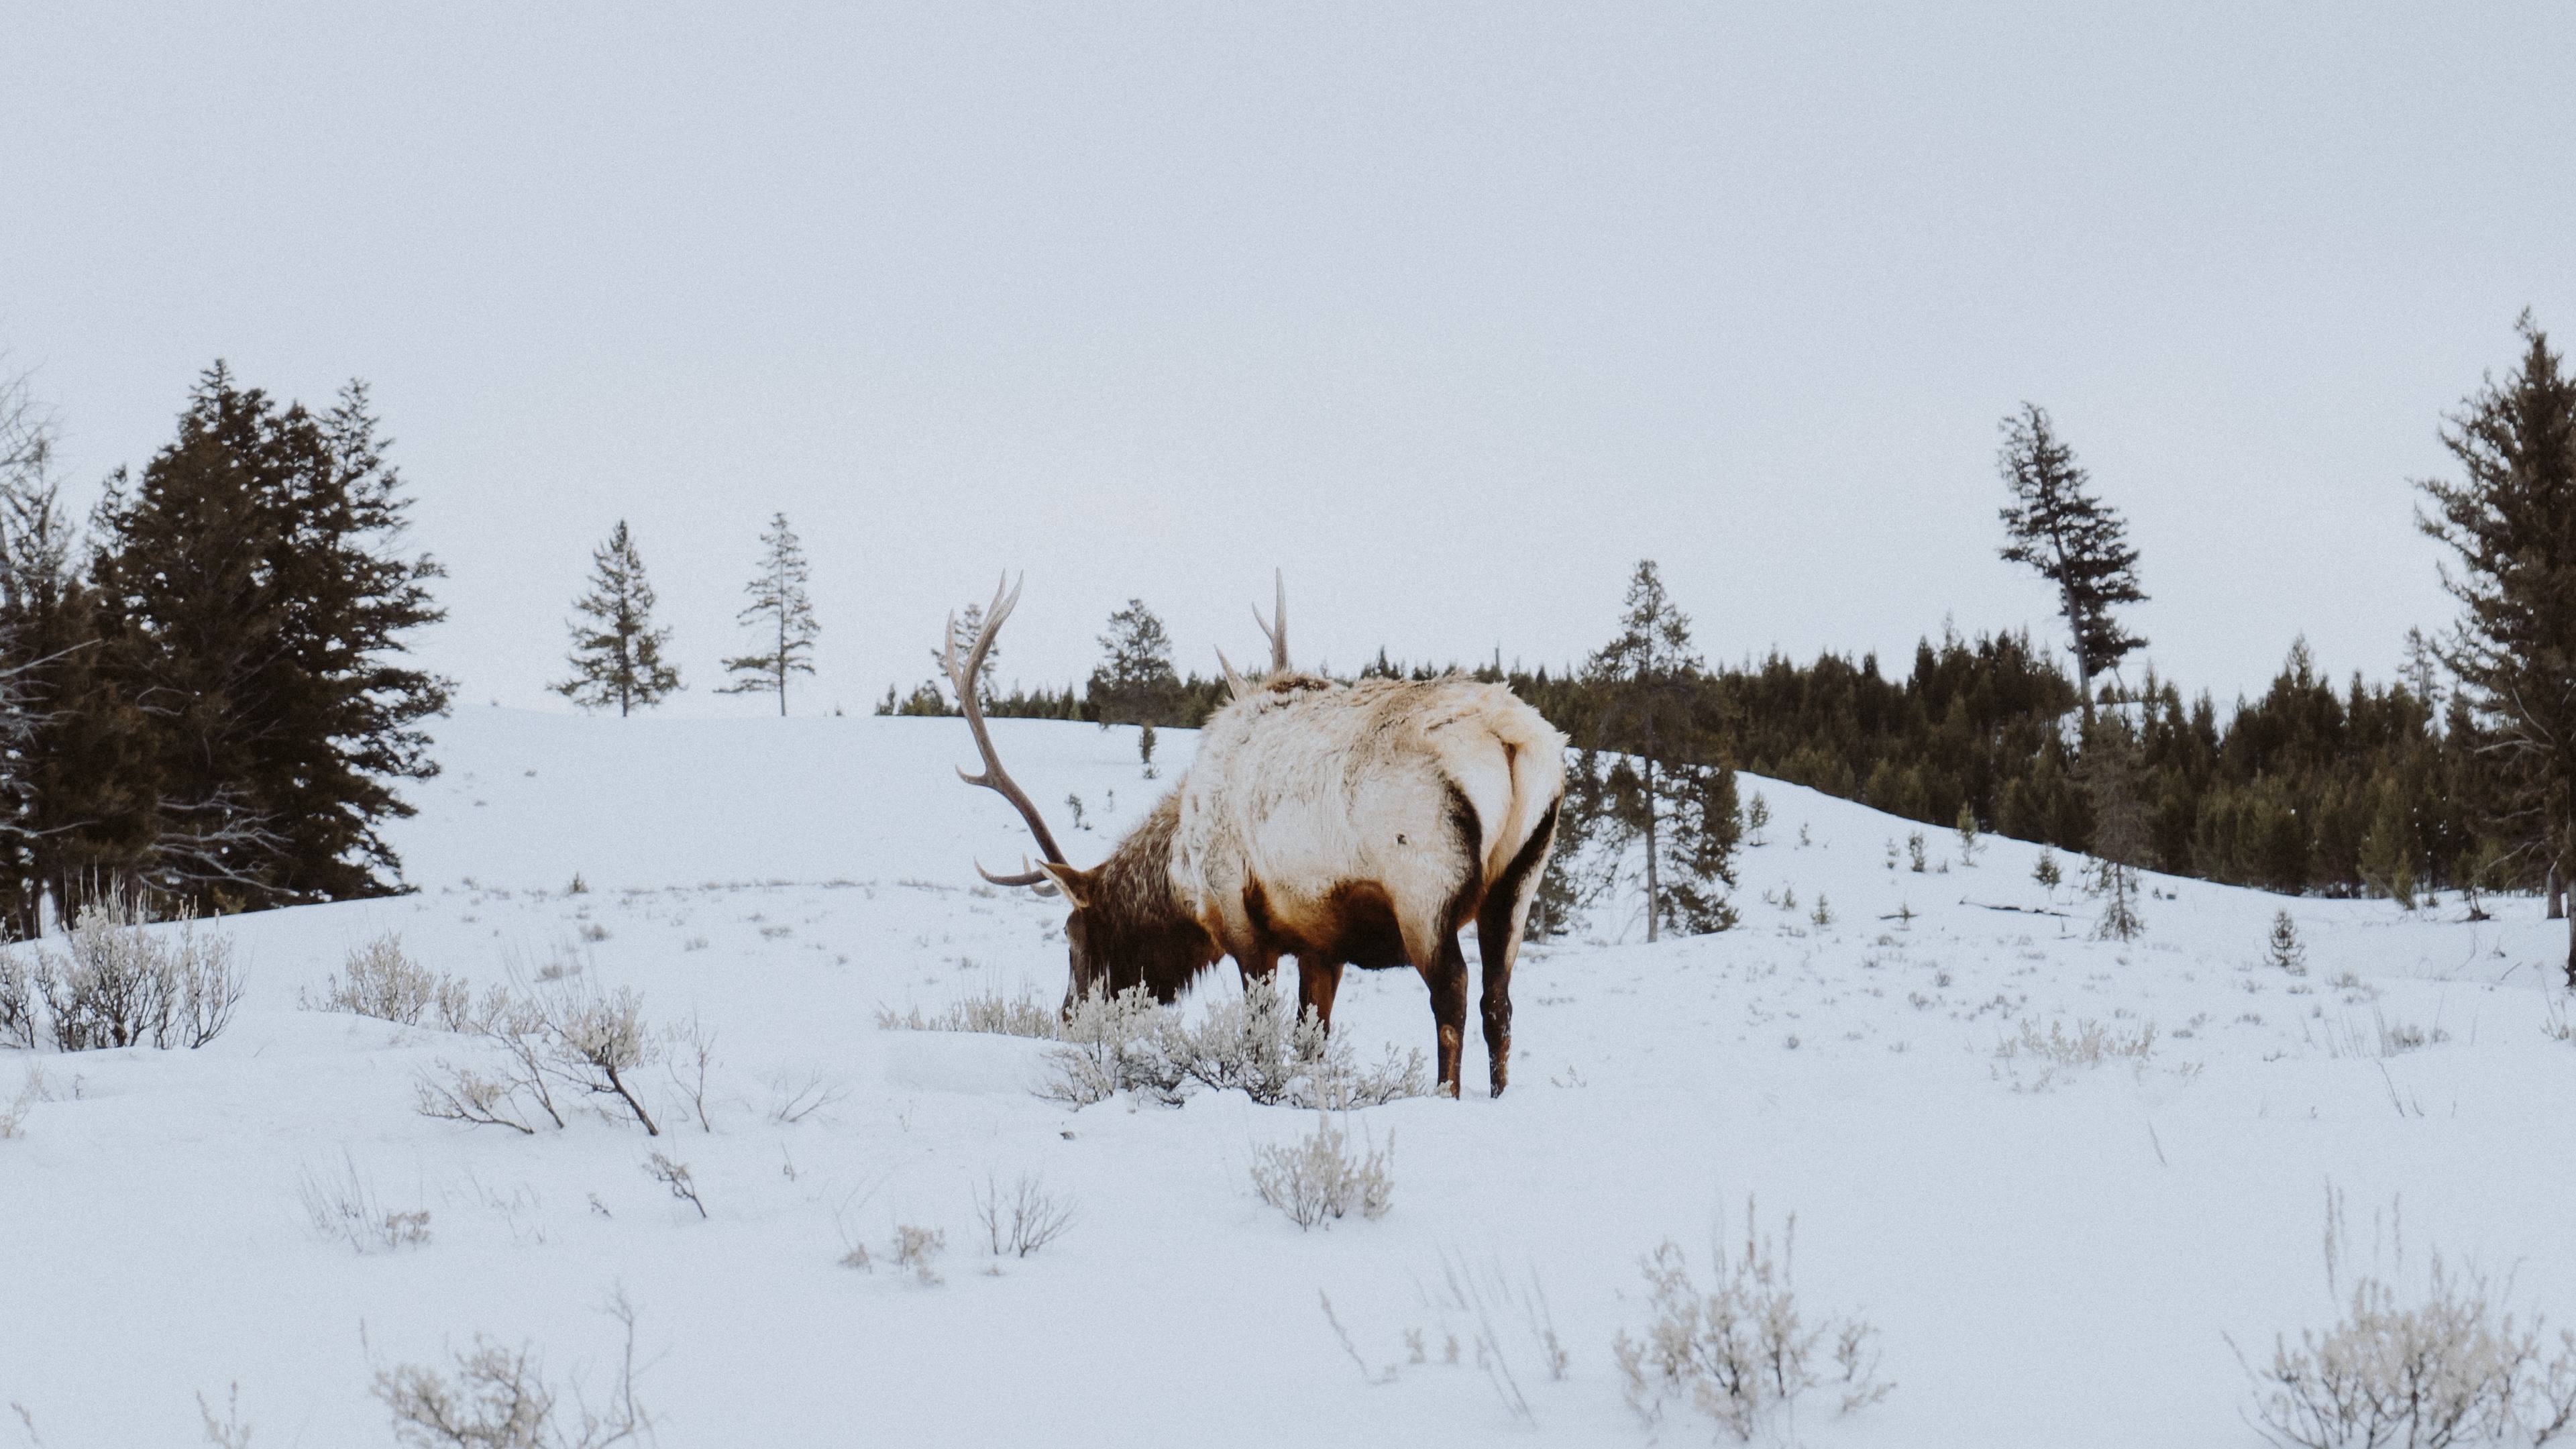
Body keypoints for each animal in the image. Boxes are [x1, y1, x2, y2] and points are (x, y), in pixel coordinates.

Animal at [937, 575, 1556, 1093]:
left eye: (1071, 935)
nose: (1067, 1018)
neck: (1180, 873)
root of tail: (1511, 737)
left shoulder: (1240, 919)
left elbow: (1261, 1036)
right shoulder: (1320, 943)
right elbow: (1312, 1041)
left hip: (1422, 887)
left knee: (1452, 992)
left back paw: (1444, 1095)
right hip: (1519, 883)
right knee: (1498, 1003)